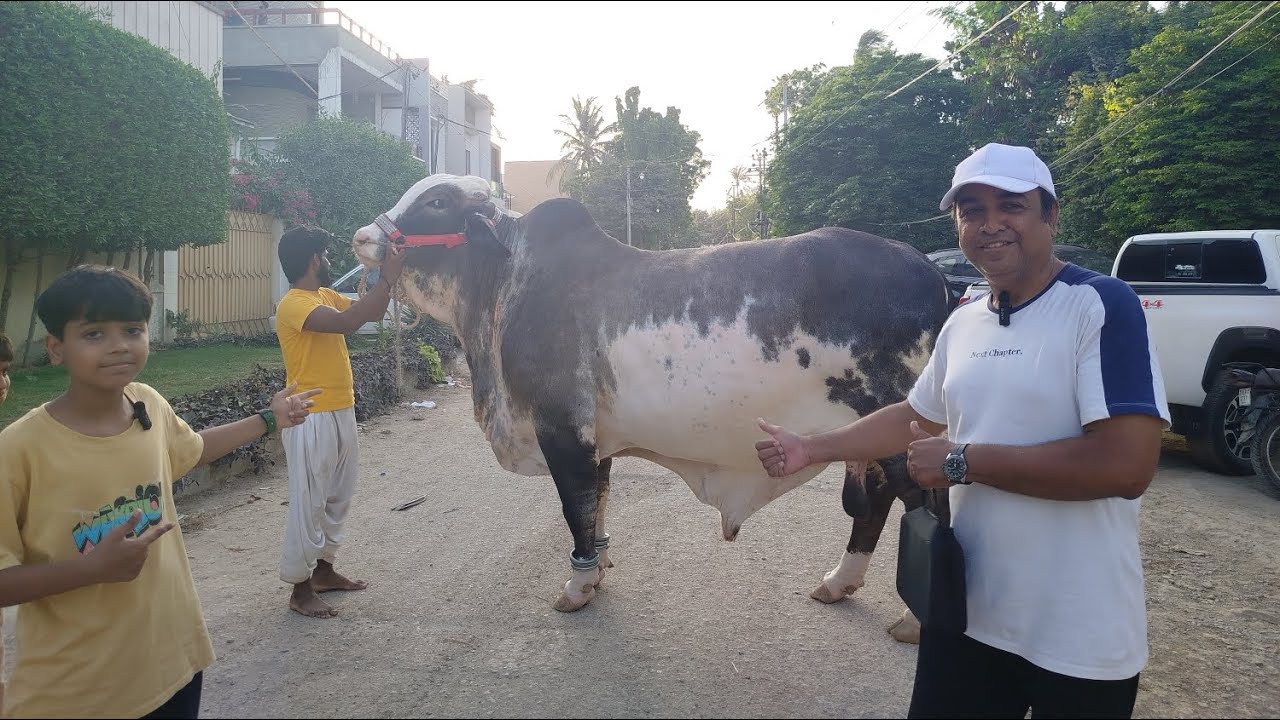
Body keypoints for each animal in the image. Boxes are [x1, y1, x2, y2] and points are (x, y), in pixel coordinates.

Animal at [351, 174, 951, 642]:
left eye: (437, 201)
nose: (362, 236)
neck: (506, 284)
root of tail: (935, 274)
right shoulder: (596, 439)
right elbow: (597, 505)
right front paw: (597, 570)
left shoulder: (561, 430)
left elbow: (575, 509)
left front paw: (576, 586)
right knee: (878, 503)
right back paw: (837, 583)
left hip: (900, 431)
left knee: (926, 505)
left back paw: (914, 620)